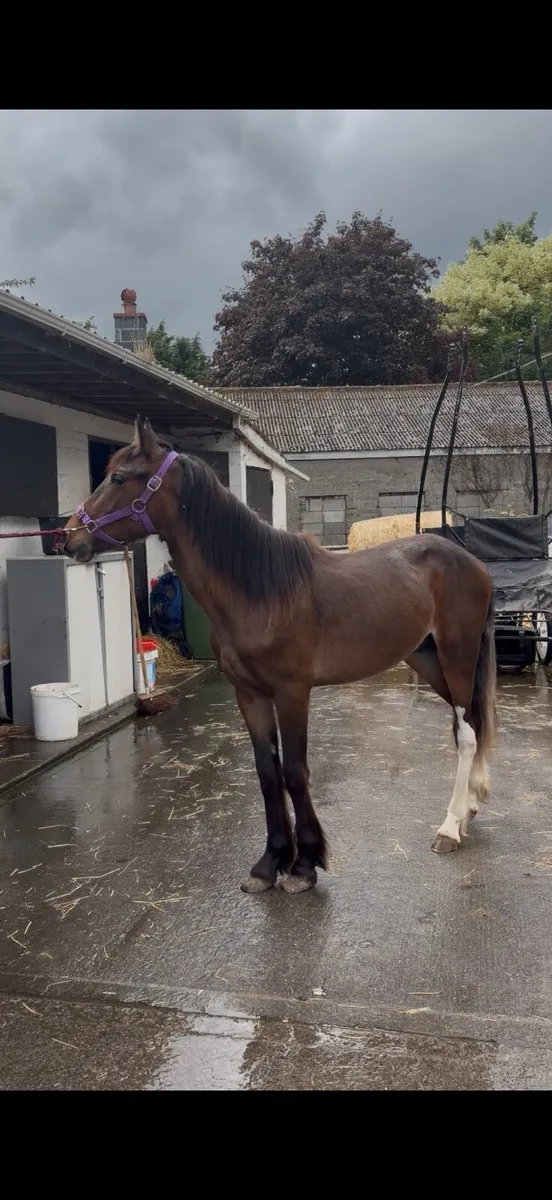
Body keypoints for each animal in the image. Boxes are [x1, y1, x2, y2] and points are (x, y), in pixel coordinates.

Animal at [64, 415, 497, 895]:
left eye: (119, 478)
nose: (69, 537)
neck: (260, 592)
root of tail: (472, 562)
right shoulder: (249, 694)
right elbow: (268, 773)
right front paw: (270, 863)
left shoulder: (292, 693)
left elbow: (294, 770)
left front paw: (305, 864)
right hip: (428, 660)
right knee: (472, 724)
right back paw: (470, 806)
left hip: (458, 657)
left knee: (467, 734)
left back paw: (450, 827)